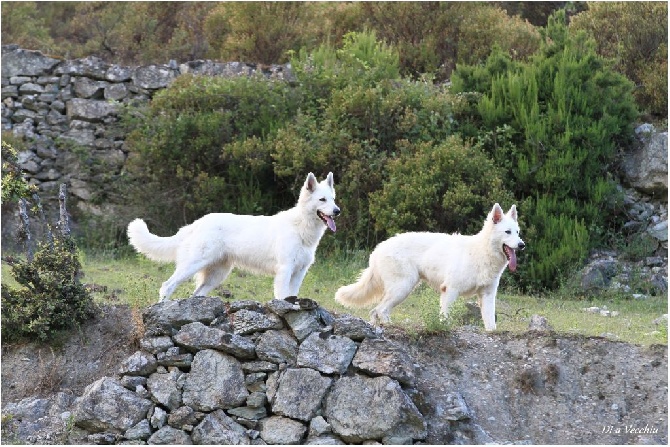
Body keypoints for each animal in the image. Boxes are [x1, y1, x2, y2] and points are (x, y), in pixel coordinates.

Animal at [129, 173, 342, 302]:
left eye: (333, 199)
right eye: (322, 200)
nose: (337, 211)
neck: (300, 228)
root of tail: (196, 223)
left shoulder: (299, 273)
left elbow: (292, 296)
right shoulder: (285, 270)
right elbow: (283, 297)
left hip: (216, 275)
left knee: (195, 294)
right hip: (193, 265)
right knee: (167, 286)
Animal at [336, 205, 524, 330]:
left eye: (517, 232)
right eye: (507, 232)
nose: (522, 245)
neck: (482, 252)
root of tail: (378, 248)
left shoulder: (487, 296)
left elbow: (491, 324)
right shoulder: (450, 291)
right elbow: (445, 318)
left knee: (375, 312)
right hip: (402, 288)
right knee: (380, 310)